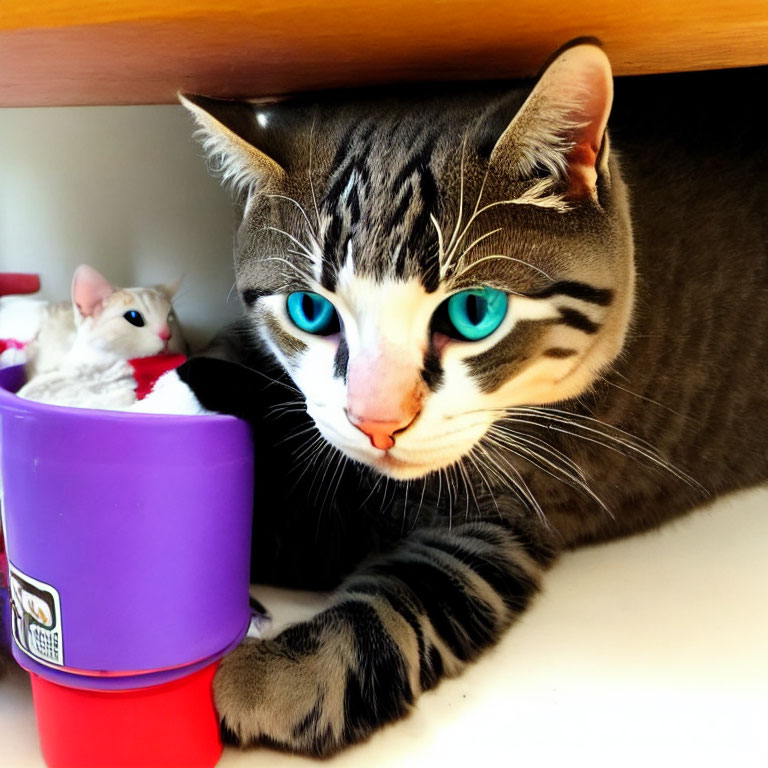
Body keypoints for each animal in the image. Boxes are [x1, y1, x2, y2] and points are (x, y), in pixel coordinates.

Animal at [178, 43, 760, 756]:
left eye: (474, 313)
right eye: (310, 310)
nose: (377, 422)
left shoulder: (527, 500)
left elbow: (423, 584)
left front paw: (279, 675)